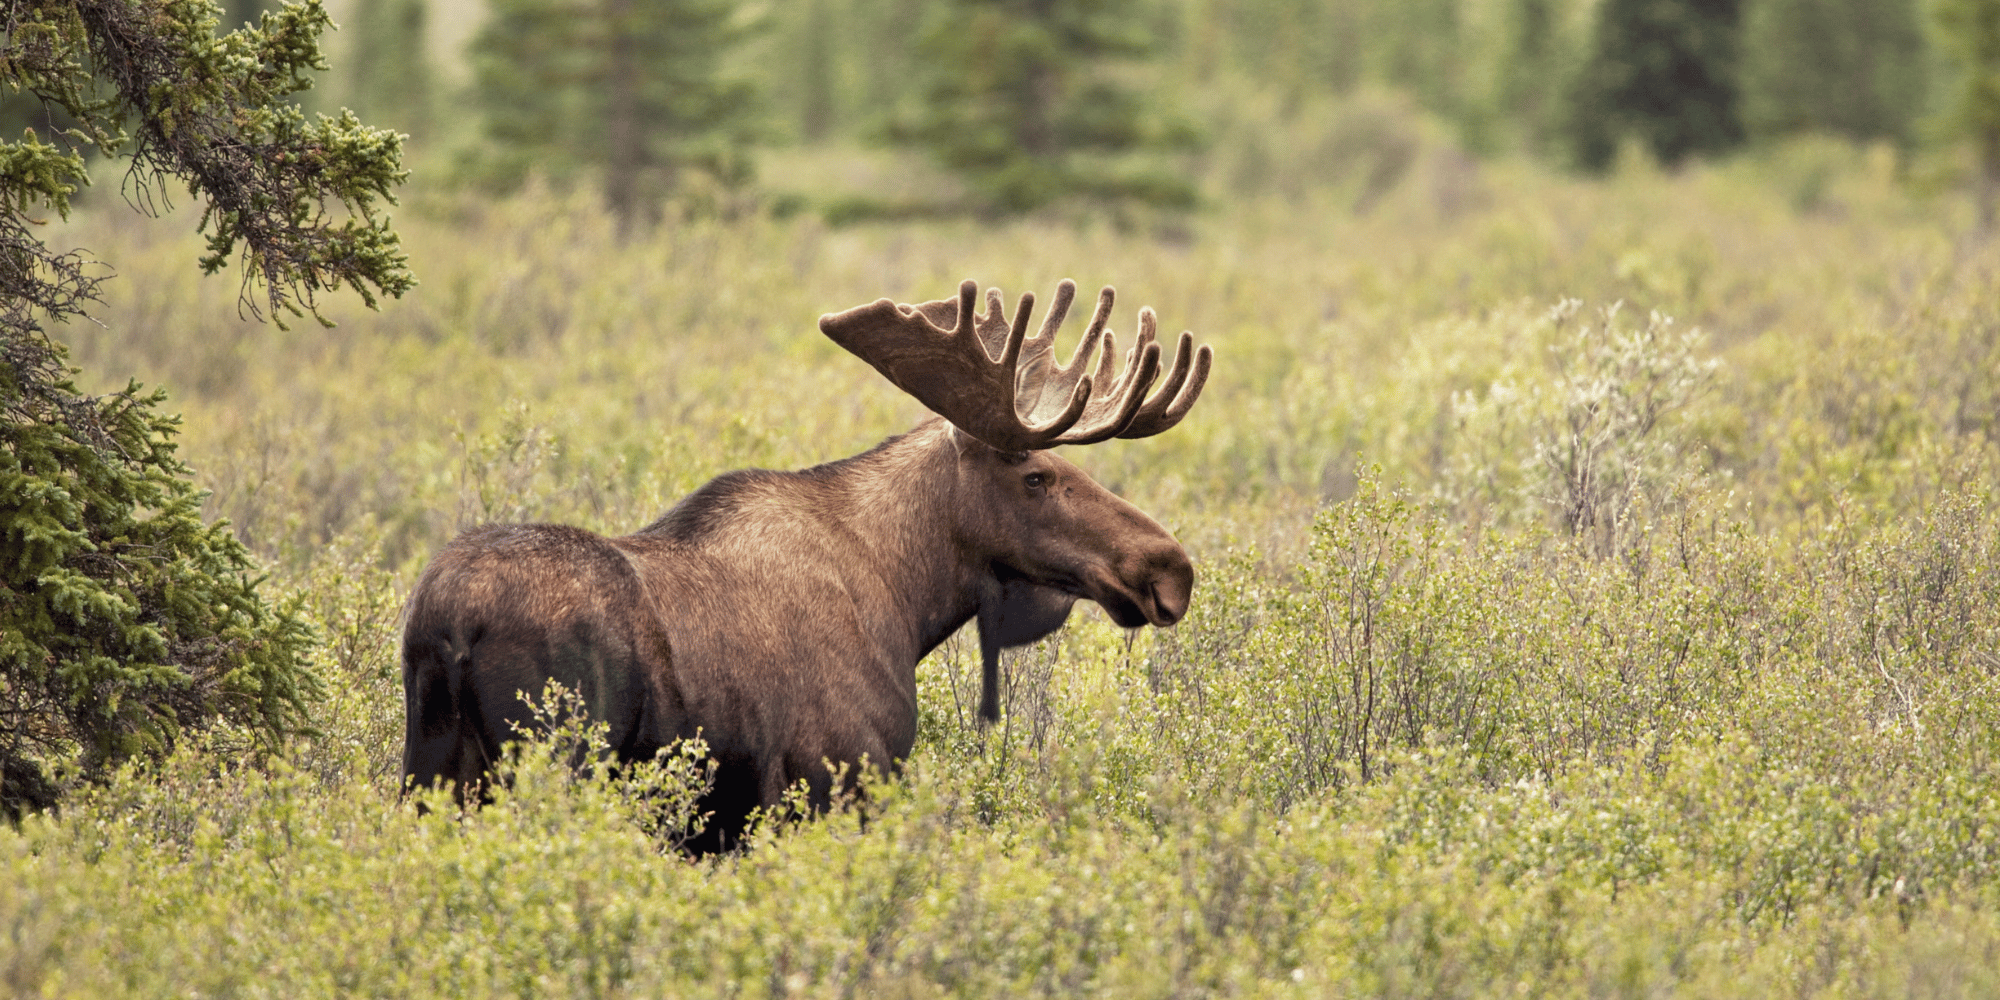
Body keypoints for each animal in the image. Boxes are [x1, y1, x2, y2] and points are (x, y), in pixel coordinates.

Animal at [401, 278, 1212, 852]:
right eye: (1038, 477)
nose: (1169, 568)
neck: (908, 598)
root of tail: (447, 623)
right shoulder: (836, 780)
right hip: (551, 764)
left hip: (430, 770)